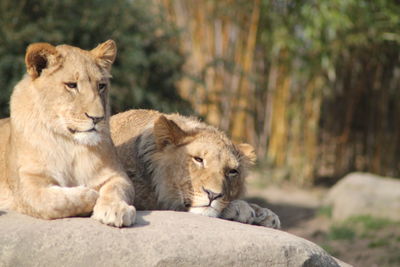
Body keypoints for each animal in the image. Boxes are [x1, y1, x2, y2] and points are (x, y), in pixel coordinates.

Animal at [0, 40, 136, 228]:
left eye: (101, 86)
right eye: (71, 85)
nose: (97, 118)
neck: (70, 144)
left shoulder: (116, 175)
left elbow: (116, 189)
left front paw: (116, 209)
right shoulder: (27, 185)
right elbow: (53, 202)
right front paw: (90, 194)